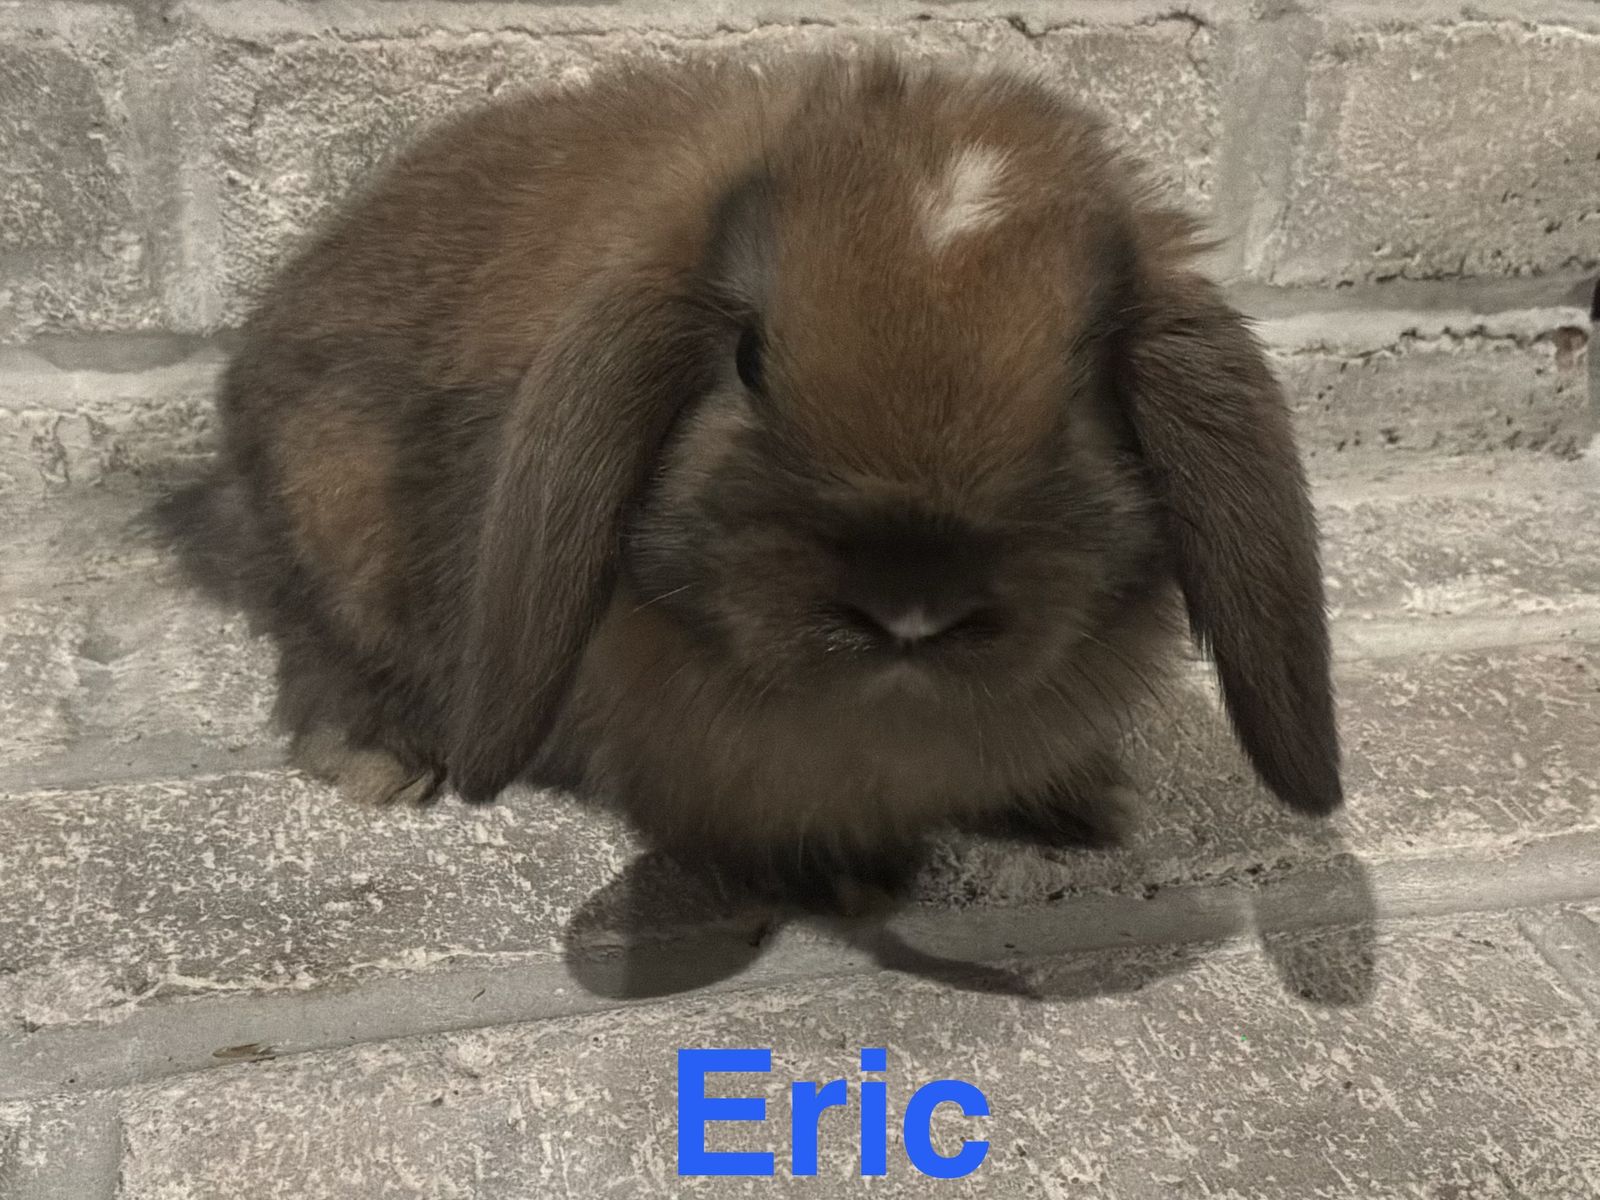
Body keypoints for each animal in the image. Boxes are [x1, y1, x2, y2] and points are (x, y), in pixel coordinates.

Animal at [184, 47, 1341, 910]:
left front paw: (1085, 808)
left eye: (1084, 385)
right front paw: (842, 878)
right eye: (747, 360)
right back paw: (375, 758)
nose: (911, 600)